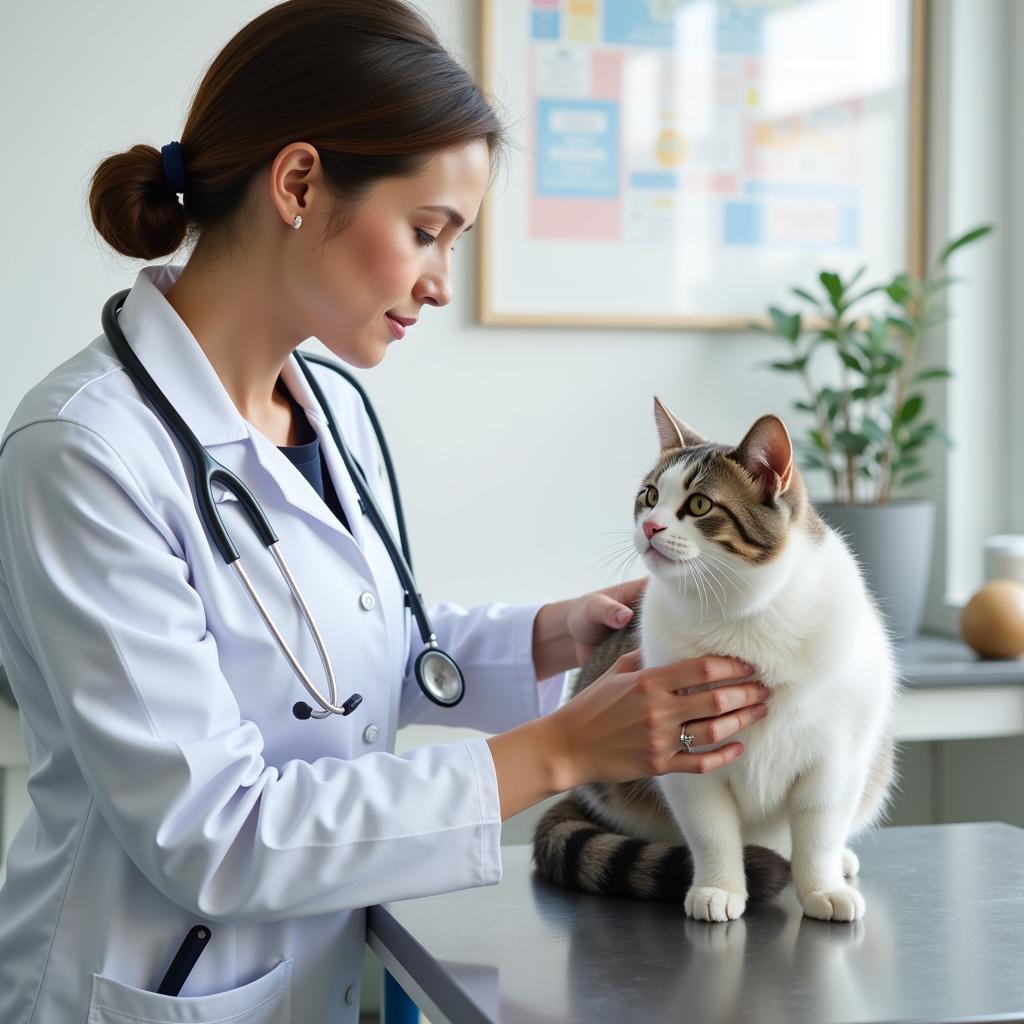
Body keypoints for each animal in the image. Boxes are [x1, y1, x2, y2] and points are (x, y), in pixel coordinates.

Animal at [532, 395, 901, 925]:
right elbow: (711, 832)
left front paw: (823, 887)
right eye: (649, 495)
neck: (739, 614)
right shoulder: (683, 759)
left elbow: (820, 831)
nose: (650, 526)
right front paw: (718, 887)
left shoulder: (837, 757)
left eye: (700, 504)